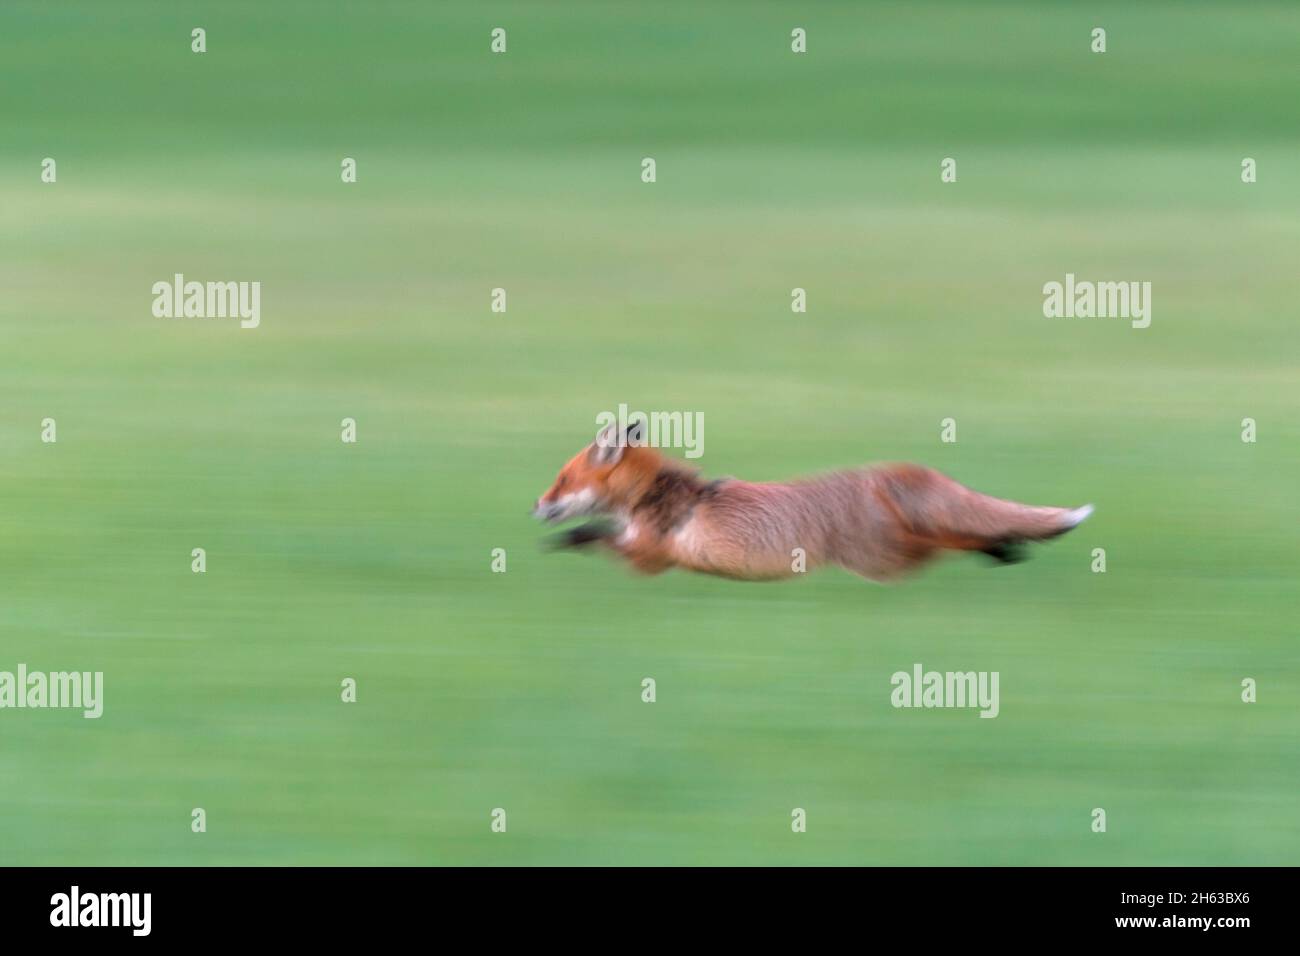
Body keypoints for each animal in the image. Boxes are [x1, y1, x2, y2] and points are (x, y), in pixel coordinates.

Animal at [532, 424, 1094, 582]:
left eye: (561, 480)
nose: (536, 506)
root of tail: (877, 475)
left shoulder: (649, 558)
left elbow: (594, 535)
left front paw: (562, 540)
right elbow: (598, 535)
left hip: (878, 559)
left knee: (942, 540)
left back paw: (1003, 546)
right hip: (882, 555)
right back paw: (1005, 547)